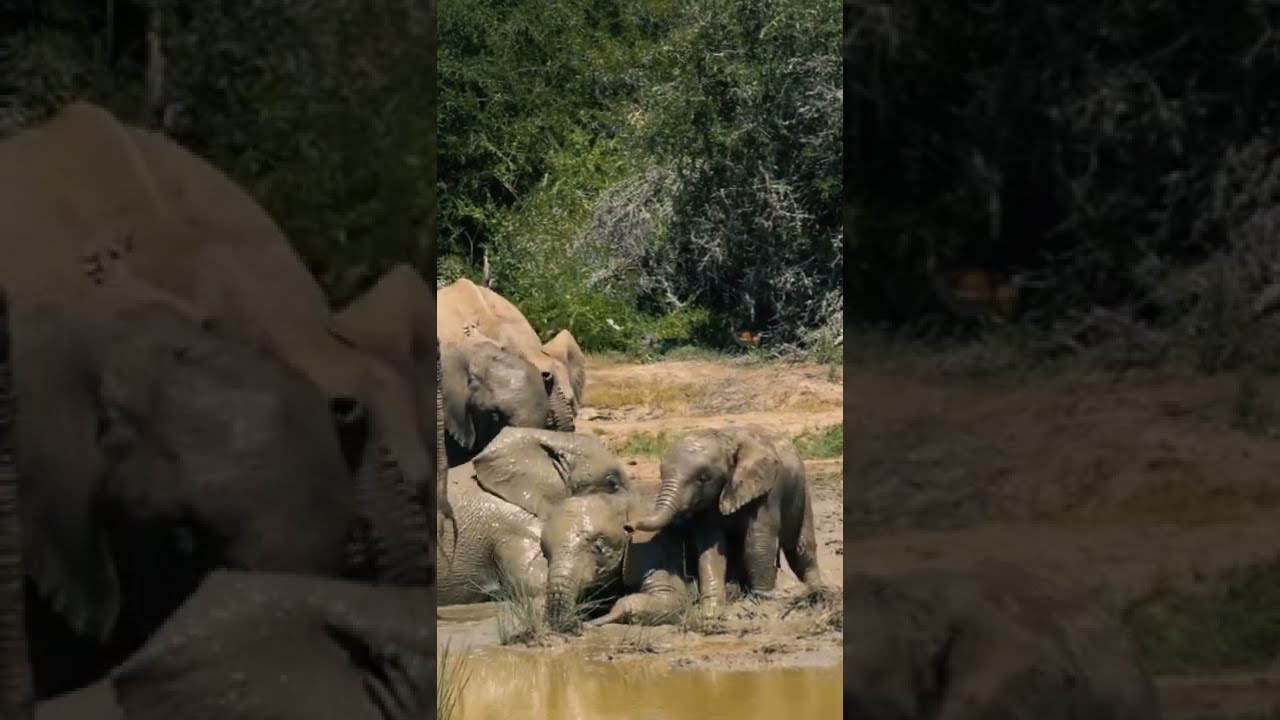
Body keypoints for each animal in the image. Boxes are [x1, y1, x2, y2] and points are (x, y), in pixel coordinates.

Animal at [542, 491, 693, 633]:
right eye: (545, 554)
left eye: (598, 547)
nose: (575, 623)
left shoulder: (654, 550)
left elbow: (671, 598)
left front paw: (592, 622)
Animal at [626, 425, 823, 609]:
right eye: (661, 473)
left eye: (704, 478)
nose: (628, 526)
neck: (726, 440)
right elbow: (710, 549)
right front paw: (711, 611)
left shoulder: (767, 489)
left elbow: (757, 543)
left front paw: (763, 602)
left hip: (801, 491)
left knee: (801, 548)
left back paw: (816, 593)